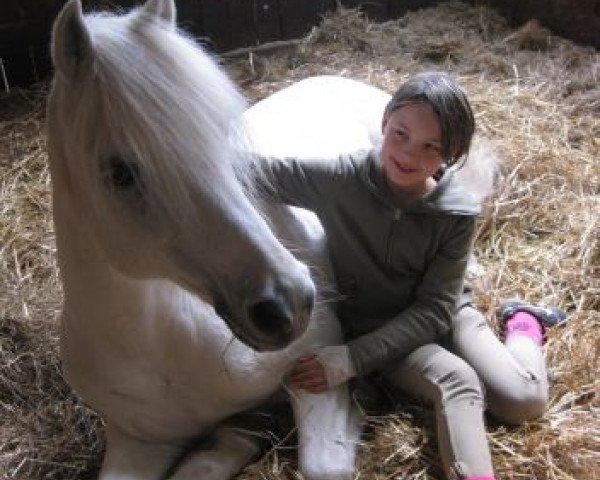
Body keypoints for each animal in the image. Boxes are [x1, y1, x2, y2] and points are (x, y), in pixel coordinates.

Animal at [47, 0, 398, 480]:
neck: (159, 343)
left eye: (221, 141)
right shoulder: (139, 442)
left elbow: (322, 463)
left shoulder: (316, 356)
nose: (289, 303)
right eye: (119, 173)